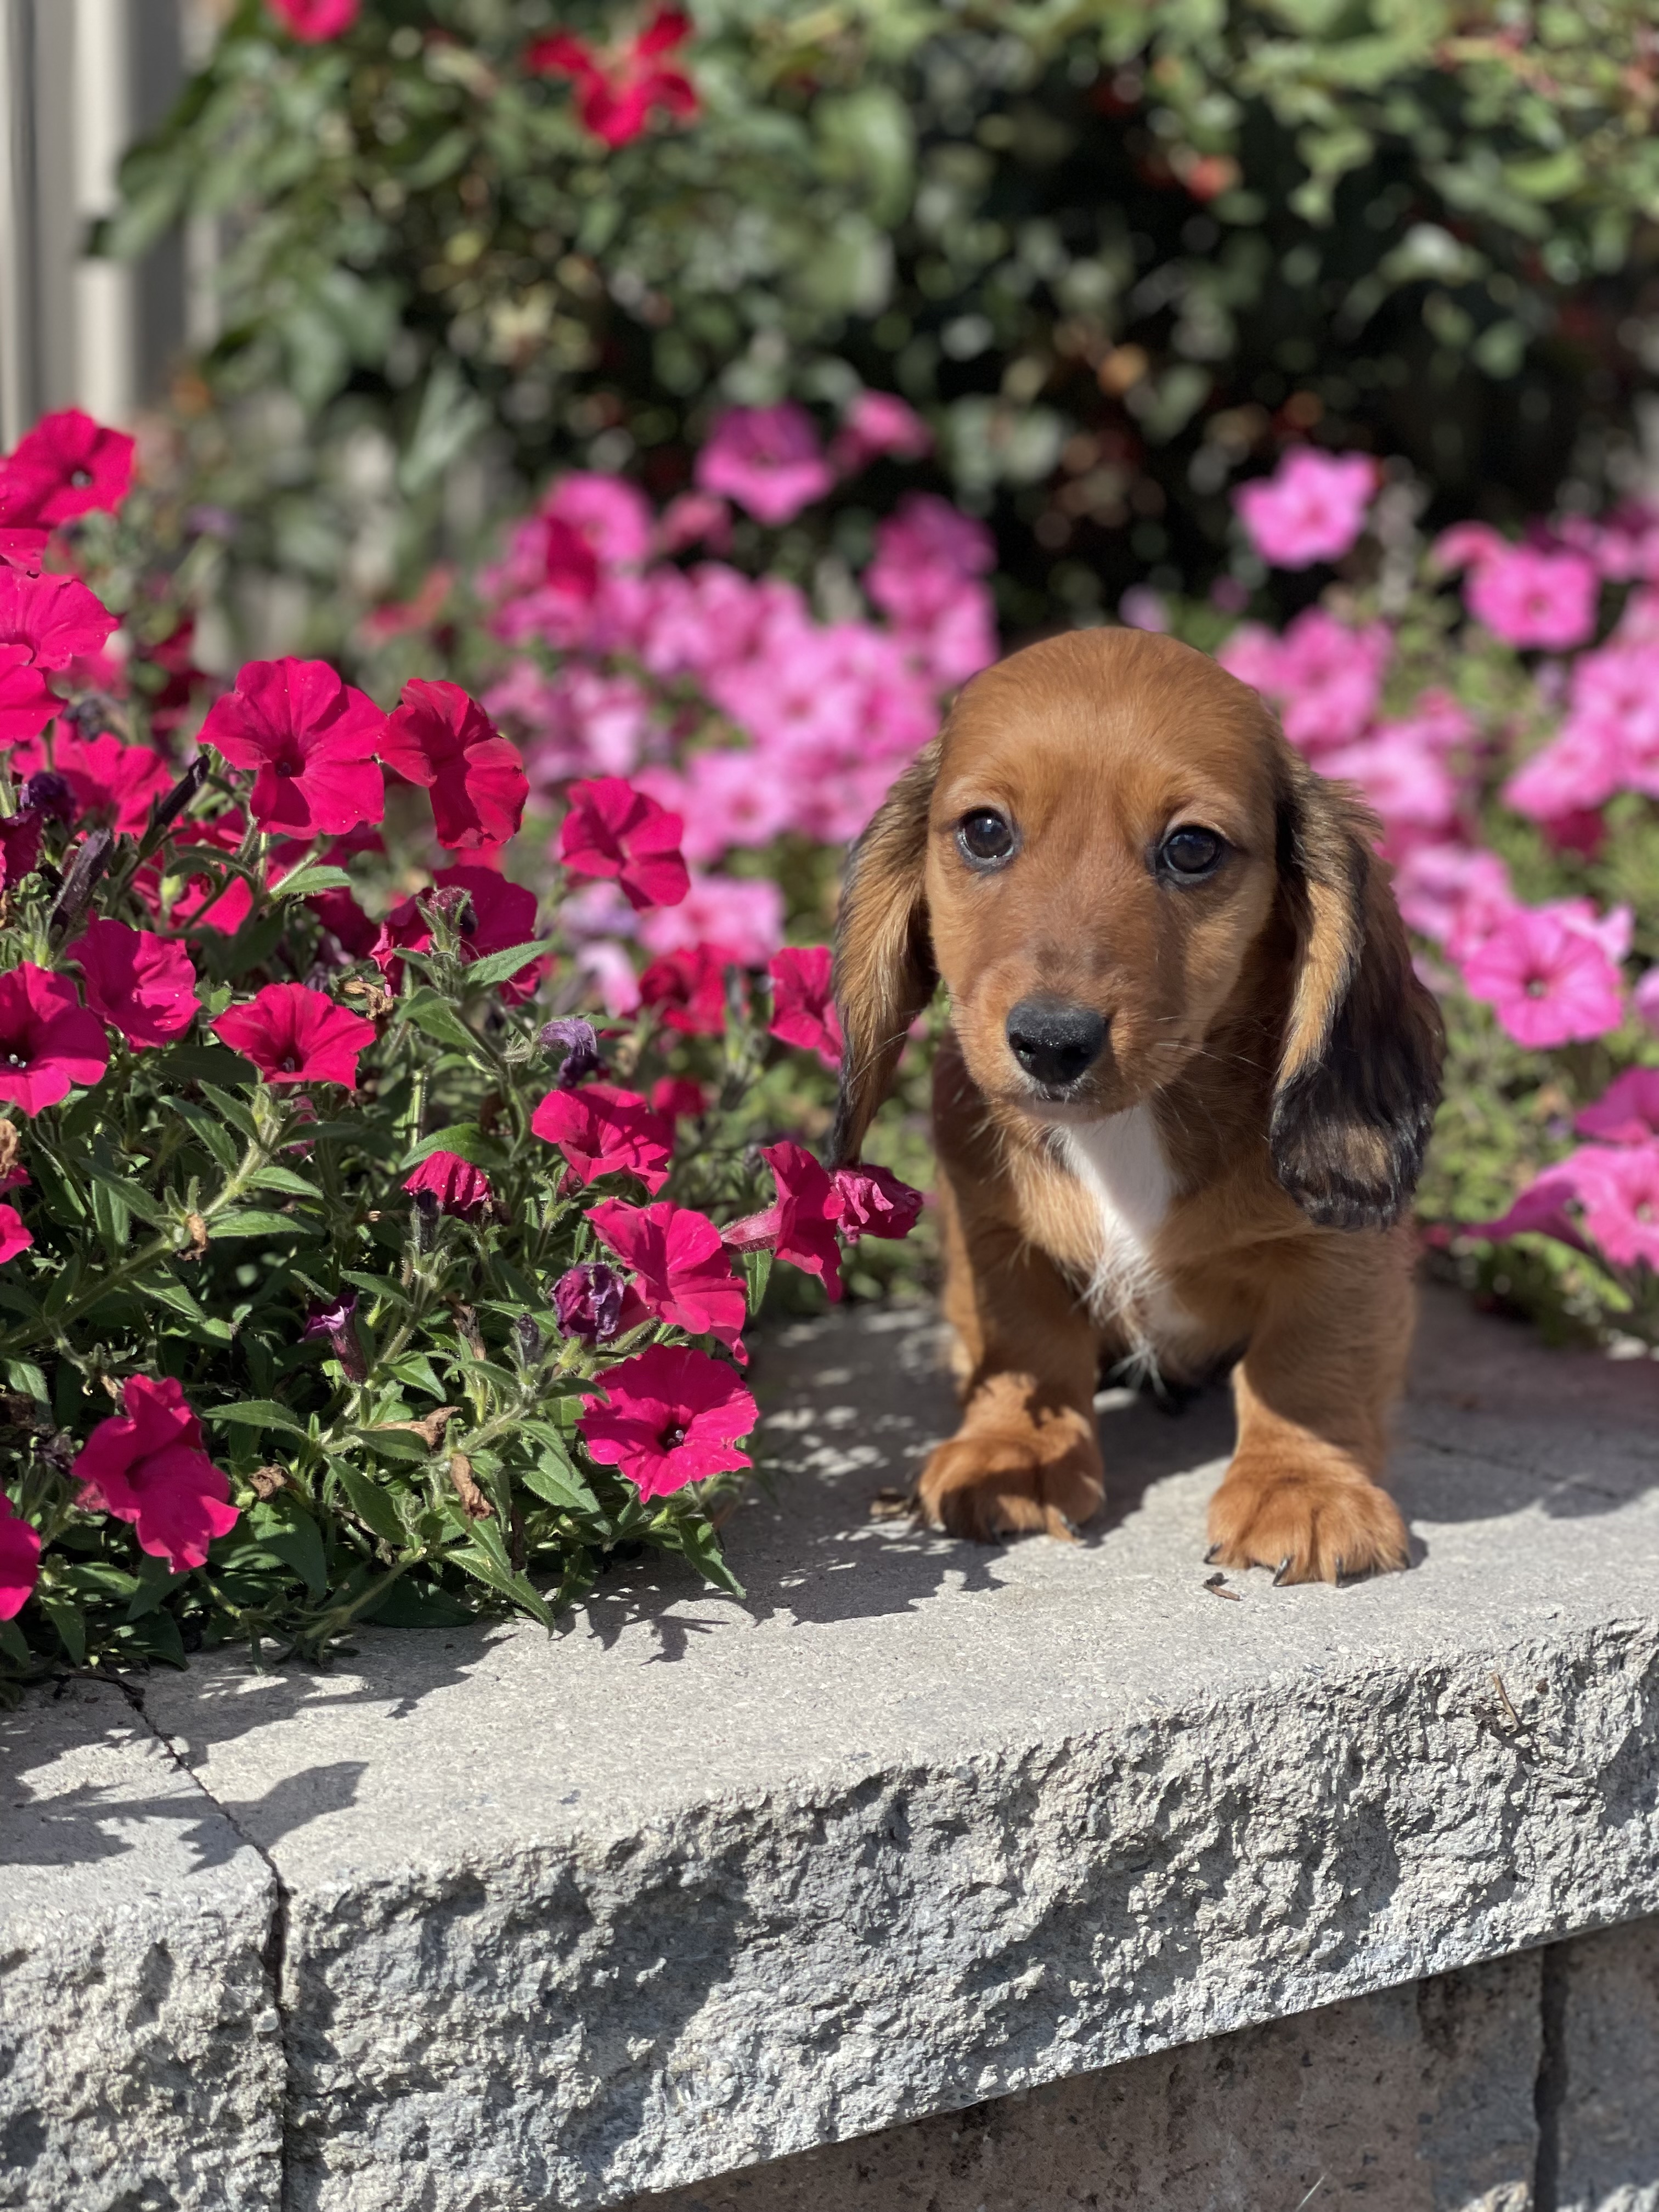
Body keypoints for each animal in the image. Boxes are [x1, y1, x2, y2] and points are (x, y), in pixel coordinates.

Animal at [827, 633, 1442, 1583]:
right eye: (985, 831)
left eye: (1192, 849)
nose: (1051, 1042)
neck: (1127, 1130)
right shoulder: (991, 1228)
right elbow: (1026, 1340)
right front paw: (1015, 1451)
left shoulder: (1341, 1248)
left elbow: (1309, 1360)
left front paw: (1304, 1487)